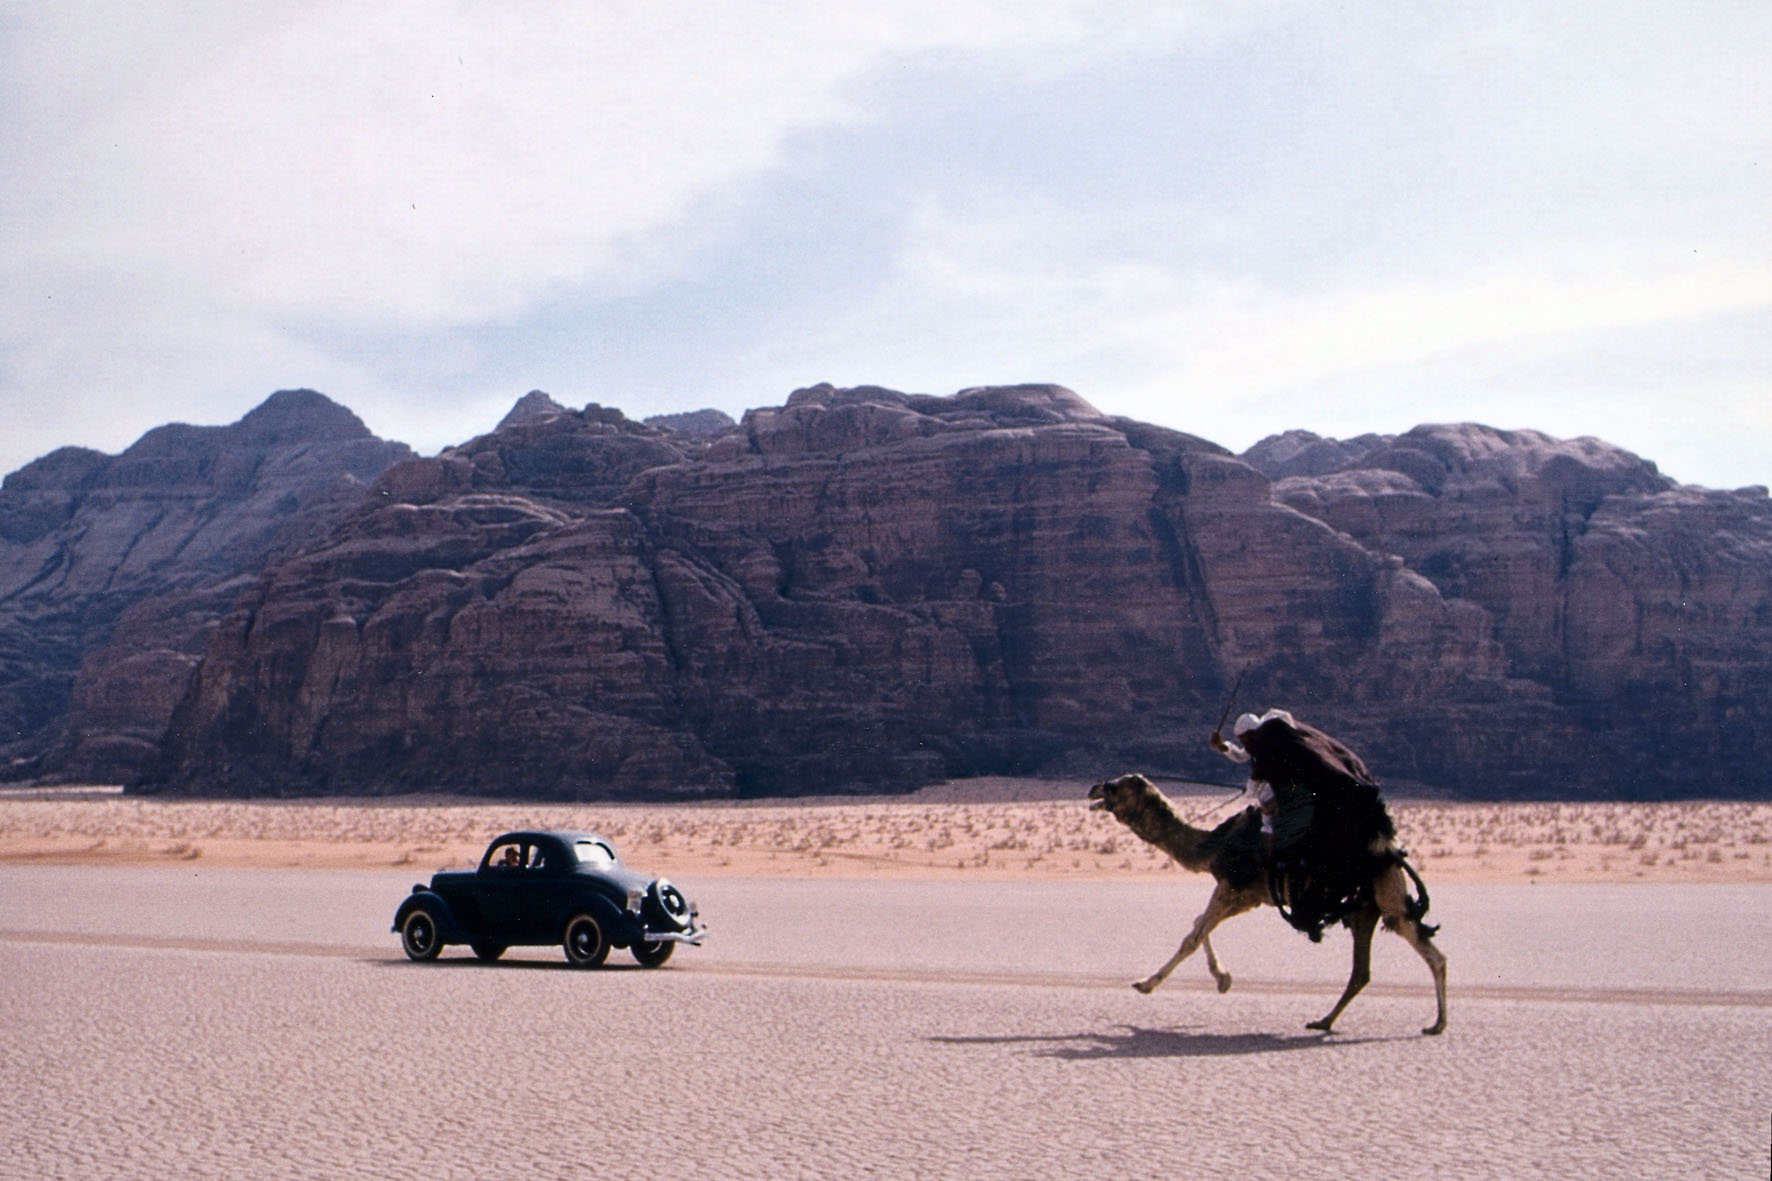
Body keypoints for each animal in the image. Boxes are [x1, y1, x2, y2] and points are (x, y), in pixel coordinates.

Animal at [1087, 771, 1448, 1036]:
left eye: (1115, 786)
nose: (1093, 789)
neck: (1213, 845)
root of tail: (1392, 849)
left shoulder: (1232, 885)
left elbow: (1192, 936)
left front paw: (1146, 984)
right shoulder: (1249, 896)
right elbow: (1198, 923)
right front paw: (1223, 980)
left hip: (1386, 897)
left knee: (1430, 953)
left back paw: (1437, 1024)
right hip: (1364, 907)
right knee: (1364, 969)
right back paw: (1325, 1021)